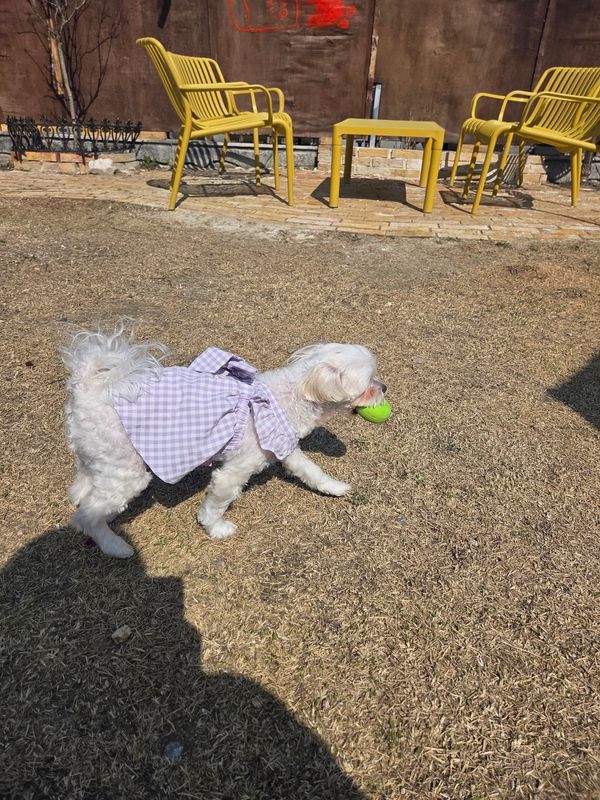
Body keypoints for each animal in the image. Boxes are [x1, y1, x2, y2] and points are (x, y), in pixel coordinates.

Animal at [62, 325, 386, 558]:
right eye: (369, 384)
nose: (384, 386)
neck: (289, 397)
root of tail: (87, 385)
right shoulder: (236, 469)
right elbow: (218, 500)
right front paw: (216, 528)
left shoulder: (283, 445)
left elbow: (311, 472)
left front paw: (335, 488)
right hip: (128, 471)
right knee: (87, 515)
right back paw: (114, 546)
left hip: (99, 456)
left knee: (80, 494)